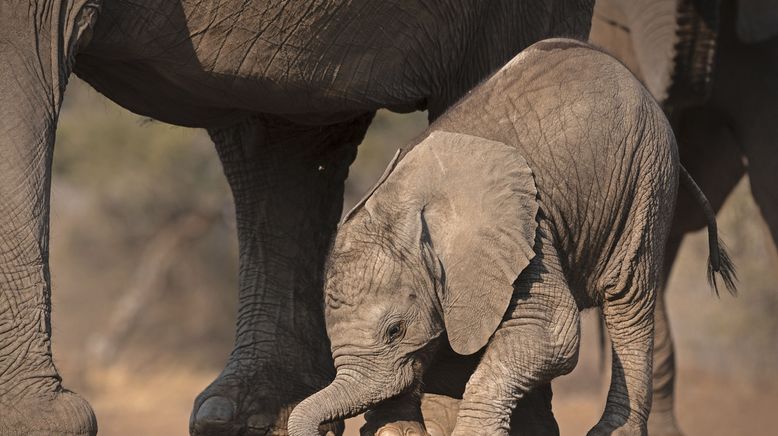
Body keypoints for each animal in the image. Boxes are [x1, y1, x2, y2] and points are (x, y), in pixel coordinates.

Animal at [286, 38, 732, 436]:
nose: (329, 429)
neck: (401, 205)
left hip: (645, 174)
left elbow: (552, 333)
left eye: (394, 330)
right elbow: (451, 360)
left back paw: (611, 431)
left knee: (627, 298)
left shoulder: (528, 237)